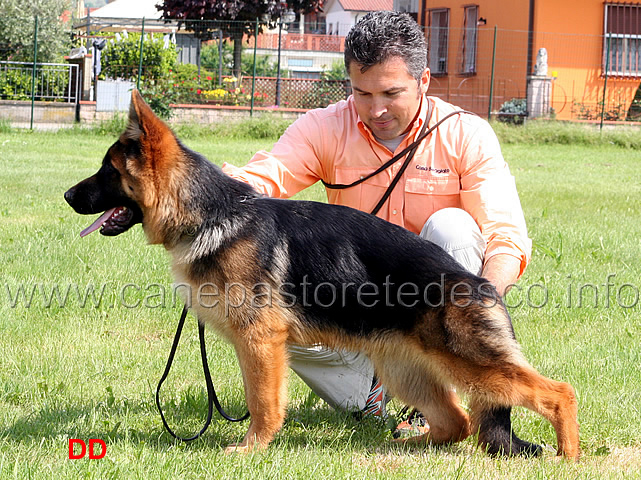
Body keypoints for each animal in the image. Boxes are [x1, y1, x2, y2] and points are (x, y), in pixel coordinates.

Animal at [66, 92, 580, 460]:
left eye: (107, 172)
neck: (212, 214)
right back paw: (403, 445)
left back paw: (568, 455)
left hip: (469, 364)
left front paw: (251, 449)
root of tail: (480, 283)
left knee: (557, 392)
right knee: (457, 422)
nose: (68, 196)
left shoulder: (261, 343)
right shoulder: (261, 344)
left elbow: (262, 402)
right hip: (406, 370)